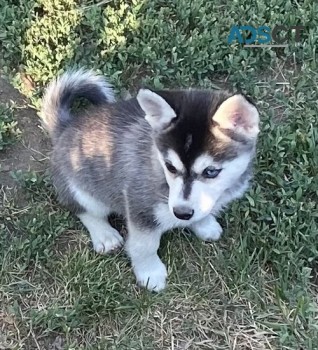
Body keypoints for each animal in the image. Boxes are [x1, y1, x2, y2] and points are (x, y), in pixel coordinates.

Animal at [42, 69, 260, 292]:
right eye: (170, 167)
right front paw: (150, 272)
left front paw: (204, 224)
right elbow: (144, 245)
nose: (181, 213)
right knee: (83, 209)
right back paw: (104, 234)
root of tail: (65, 128)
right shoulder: (140, 206)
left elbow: (202, 212)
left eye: (211, 172)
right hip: (79, 188)